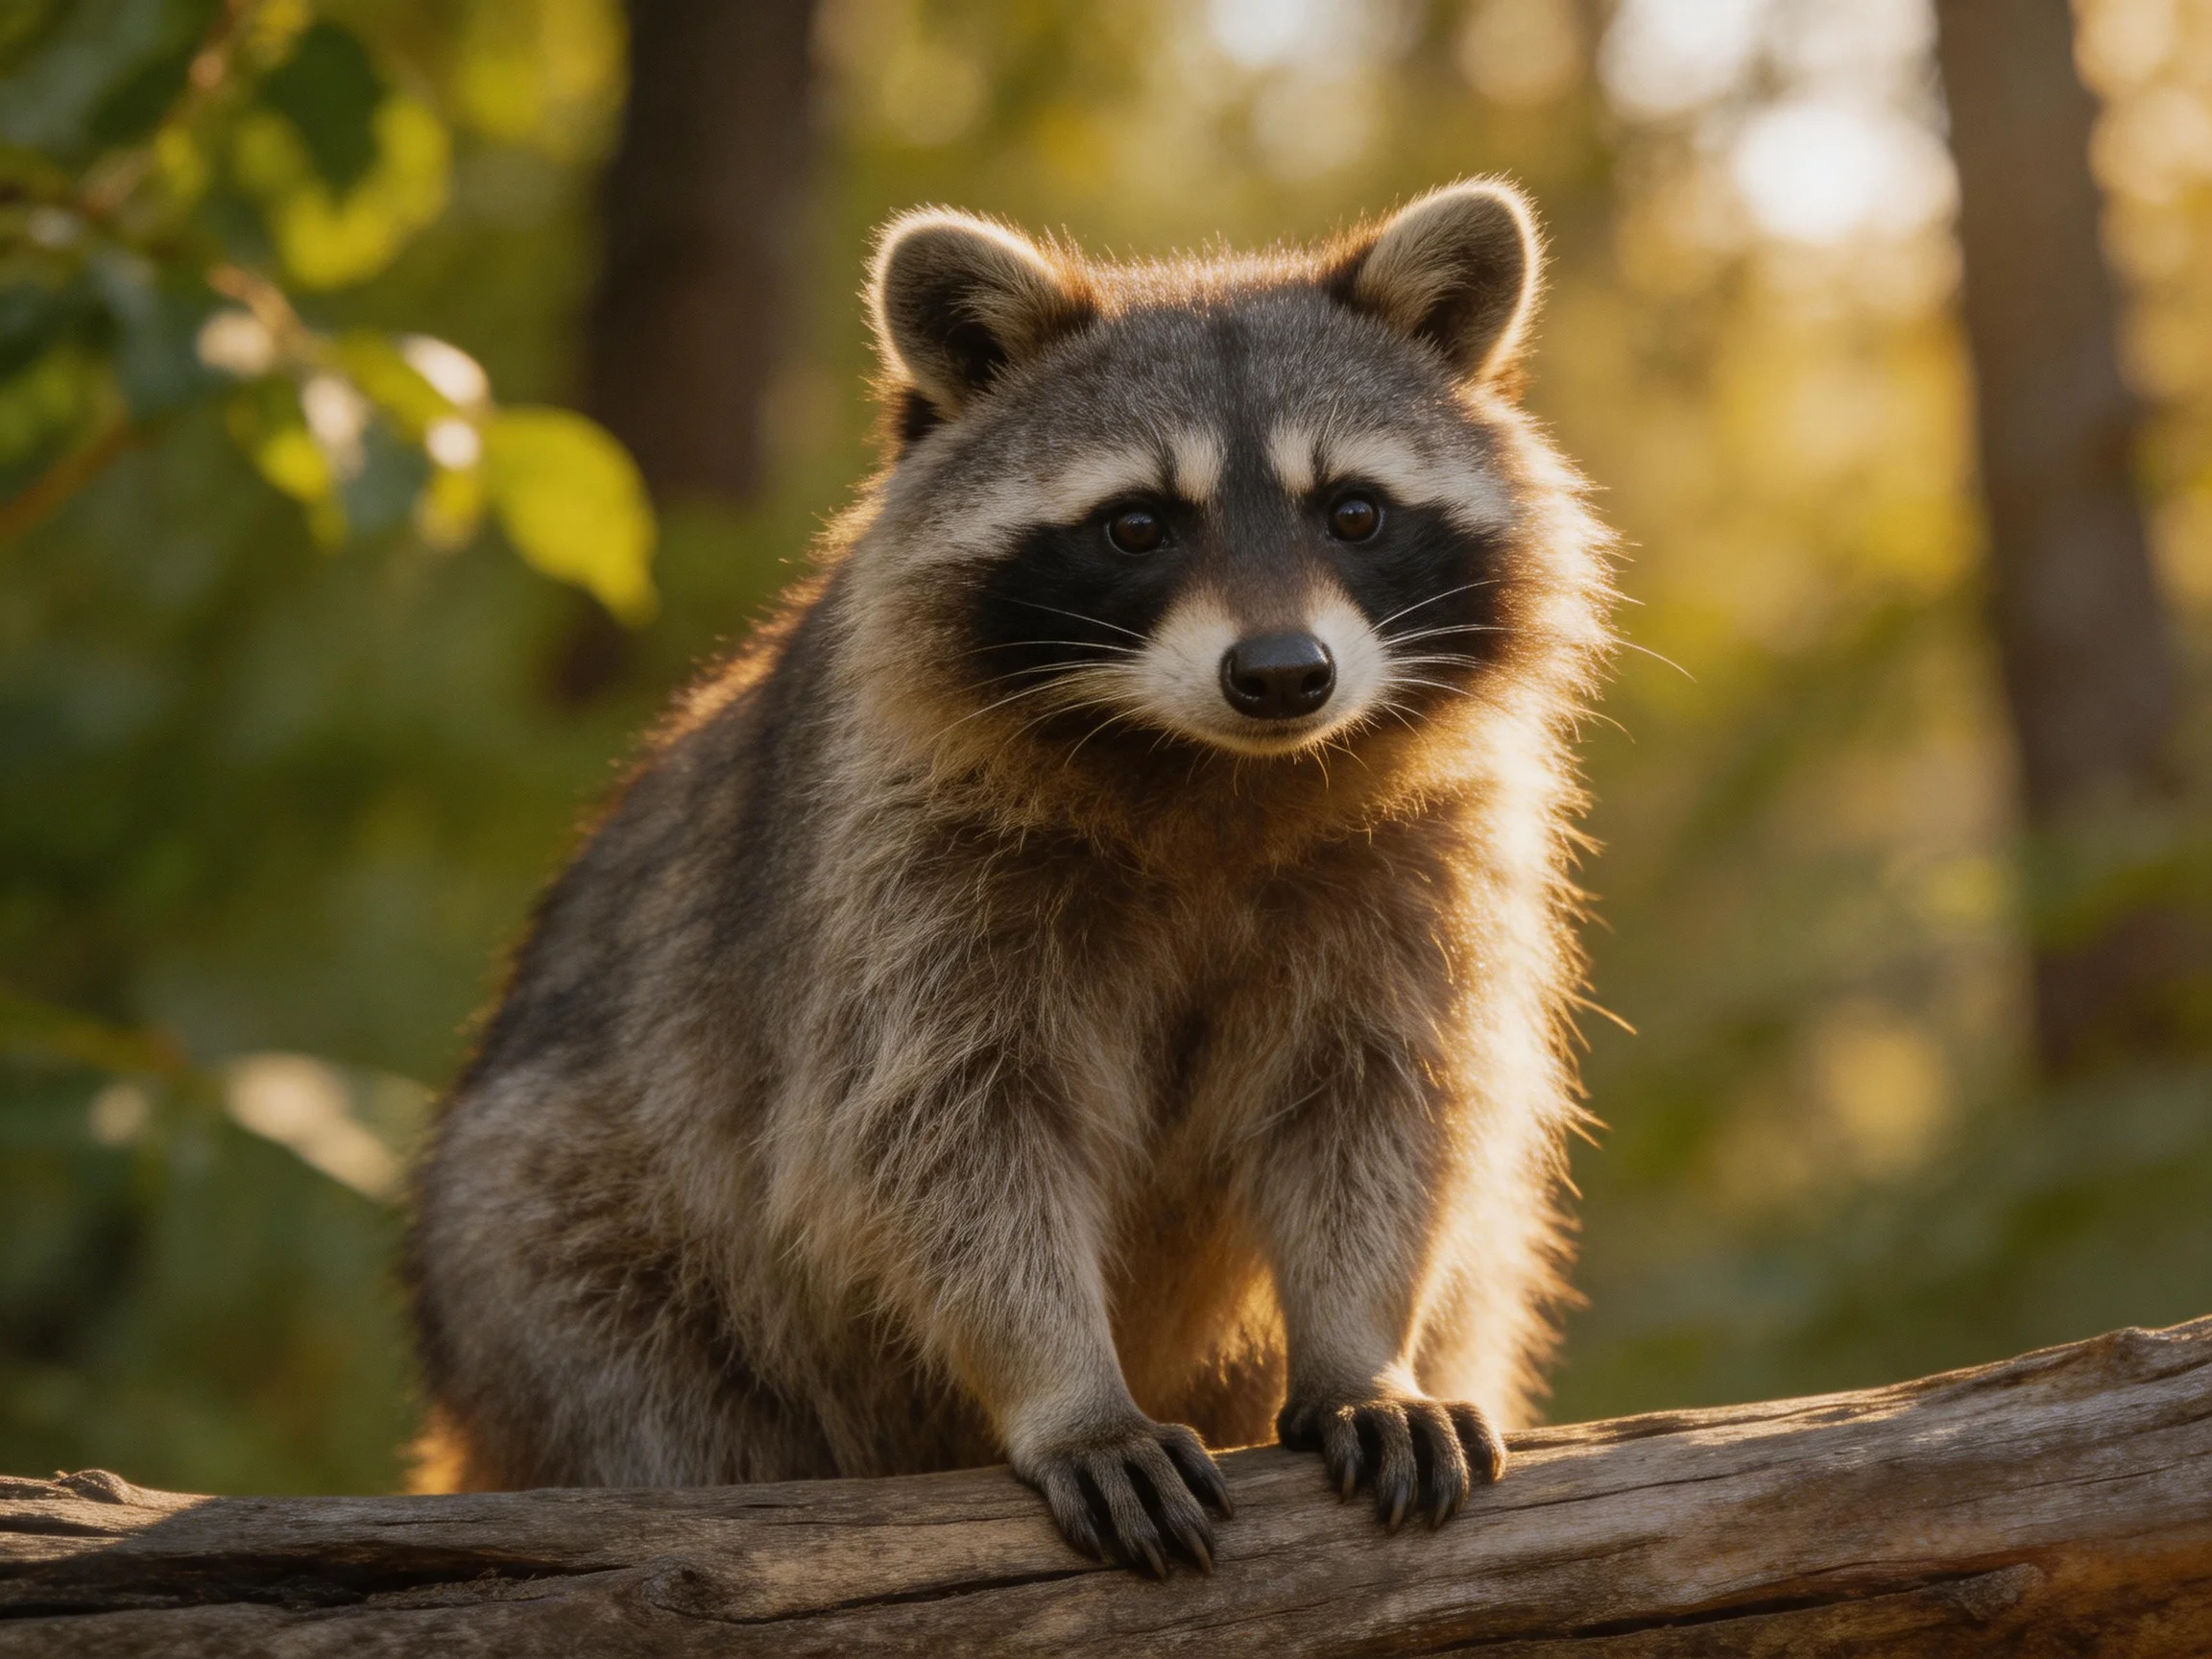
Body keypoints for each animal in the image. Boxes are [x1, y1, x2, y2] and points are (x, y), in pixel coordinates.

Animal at [407, 180, 1613, 1576]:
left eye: (1353, 511)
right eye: (1137, 524)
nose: (1282, 675)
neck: (1214, 770)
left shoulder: (1426, 863)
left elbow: (1380, 1104)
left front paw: (1362, 1350)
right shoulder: (893, 869)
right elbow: (943, 1136)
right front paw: (1069, 1391)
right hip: (551, 1254)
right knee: (621, 1343)